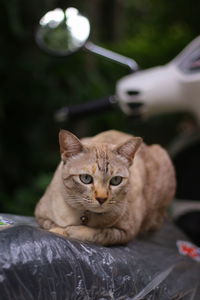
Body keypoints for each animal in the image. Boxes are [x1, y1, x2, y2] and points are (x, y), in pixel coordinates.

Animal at [35, 130, 176, 245]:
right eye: (85, 178)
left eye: (116, 180)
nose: (101, 198)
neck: (84, 216)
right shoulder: (40, 216)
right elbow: (52, 226)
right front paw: (61, 230)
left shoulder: (126, 232)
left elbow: (100, 234)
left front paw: (72, 231)